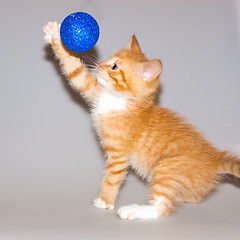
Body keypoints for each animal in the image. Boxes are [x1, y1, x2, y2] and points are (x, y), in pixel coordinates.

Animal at [43, 21, 240, 220]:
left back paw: (133, 210)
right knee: (193, 196)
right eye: (109, 59)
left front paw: (105, 200)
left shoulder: (119, 154)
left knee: (162, 208)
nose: (99, 64)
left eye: (114, 67)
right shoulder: (94, 91)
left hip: (166, 168)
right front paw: (56, 36)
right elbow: (75, 71)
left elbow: (111, 178)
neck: (118, 100)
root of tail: (214, 158)